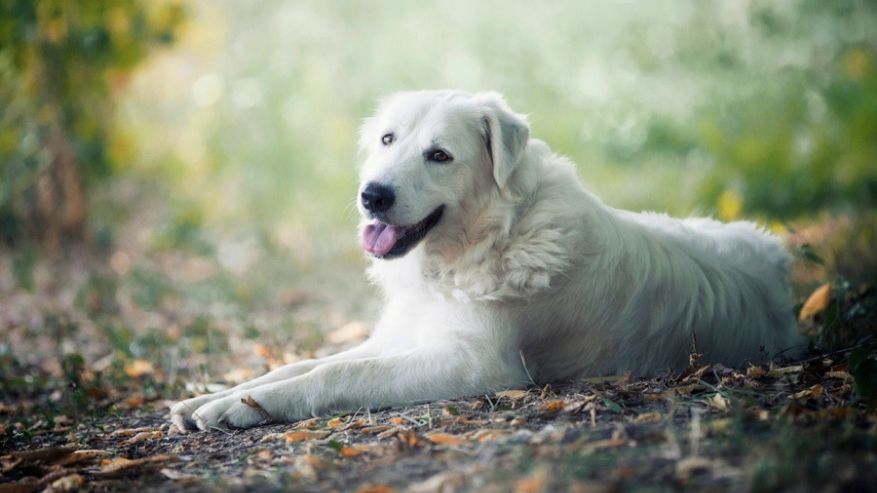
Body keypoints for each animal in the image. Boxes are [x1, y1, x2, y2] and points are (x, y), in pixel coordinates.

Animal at [168, 89, 804, 430]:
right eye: (388, 141)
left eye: (440, 155)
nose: (372, 194)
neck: (480, 245)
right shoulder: (398, 336)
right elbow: (297, 365)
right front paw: (212, 398)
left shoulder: (474, 364)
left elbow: (334, 375)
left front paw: (240, 408)